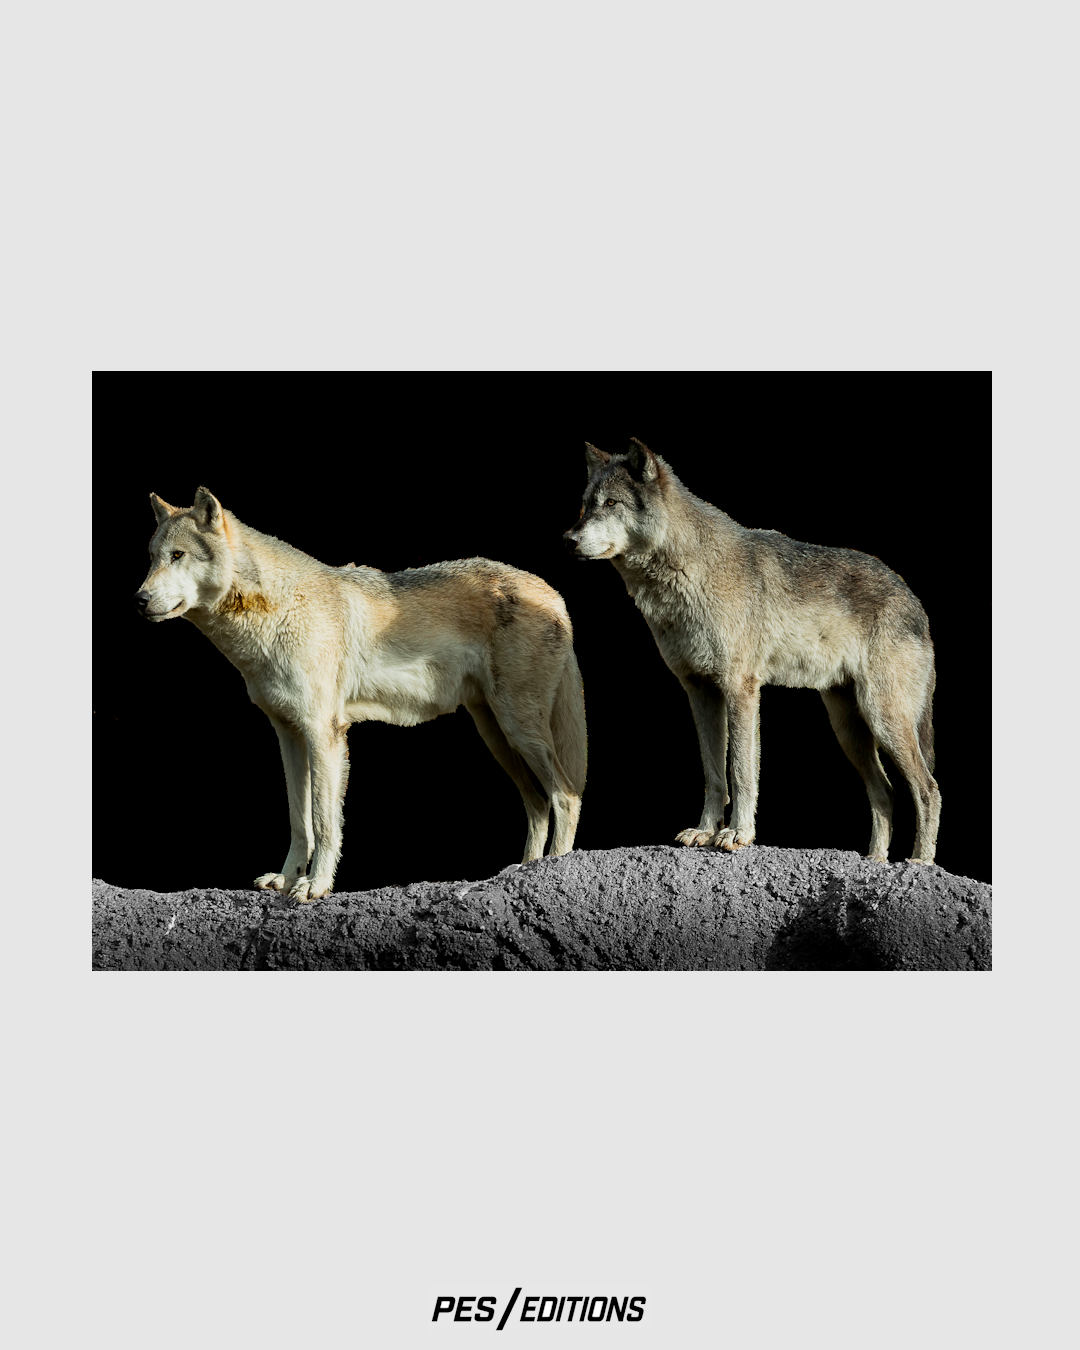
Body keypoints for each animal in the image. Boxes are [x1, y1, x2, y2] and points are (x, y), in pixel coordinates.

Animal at [135, 488, 587, 901]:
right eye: (153, 557)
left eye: (178, 555)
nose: (138, 600)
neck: (274, 611)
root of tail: (556, 595)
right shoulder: (289, 735)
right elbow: (298, 819)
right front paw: (286, 879)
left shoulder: (325, 733)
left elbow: (324, 820)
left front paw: (315, 886)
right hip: (496, 734)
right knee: (538, 803)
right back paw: (519, 872)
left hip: (517, 729)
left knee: (565, 796)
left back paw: (549, 872)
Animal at [563, 440, 940, 864]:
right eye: (585, 506)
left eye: (611, 503)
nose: (568, 539)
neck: (687, 572)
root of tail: (914, 599)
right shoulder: (699, 691)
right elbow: (713, 773)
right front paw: (705, 830)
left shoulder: (740, 689)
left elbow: (741, 770)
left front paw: (738, 833)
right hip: (848, 729)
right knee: (885, 792)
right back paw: (874, 862)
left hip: (883, 718)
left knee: (927, 788)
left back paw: (919, 865)